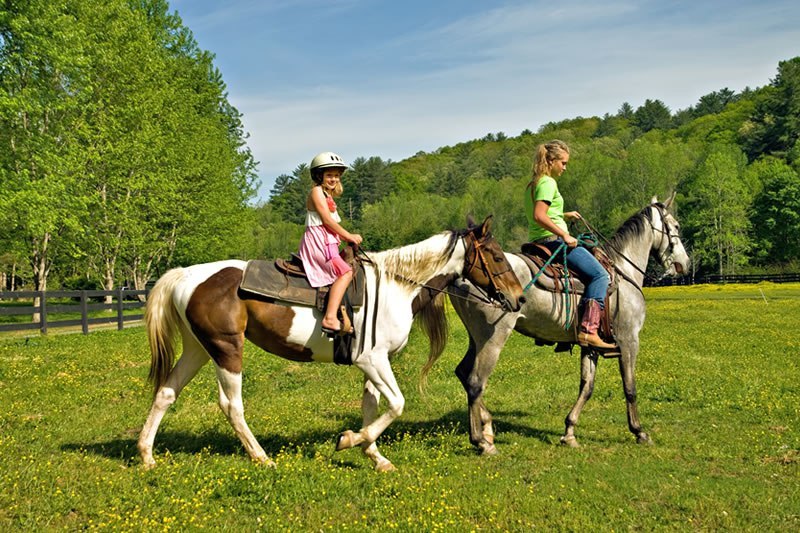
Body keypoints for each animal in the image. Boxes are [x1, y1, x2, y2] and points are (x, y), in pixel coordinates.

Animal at [138, 215, 524, 470]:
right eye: (497, 256)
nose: (518, 299)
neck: (397, 286)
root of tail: (186, 276)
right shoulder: (373, 360)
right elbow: (396, 404)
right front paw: (350, 440)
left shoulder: (373, 363)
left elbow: (372, 406)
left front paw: (374, 455)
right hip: (226, 349)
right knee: (231, 405)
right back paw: (262, 457)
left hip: (198, 349)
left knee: (166, 393)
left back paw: (146, 455)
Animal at [440, 193, 692, 450]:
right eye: (676, 226)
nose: (685, 264)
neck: (623, 274)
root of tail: (460, 275)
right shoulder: (629, 340)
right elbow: (629, 388)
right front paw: (639, 431)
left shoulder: (591, 345)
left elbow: (587, 386)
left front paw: (569, 431)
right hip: (493, 338)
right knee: (475, 381)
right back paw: (482, 440)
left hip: (476, 338)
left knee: (463, 373)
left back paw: (487, 427)